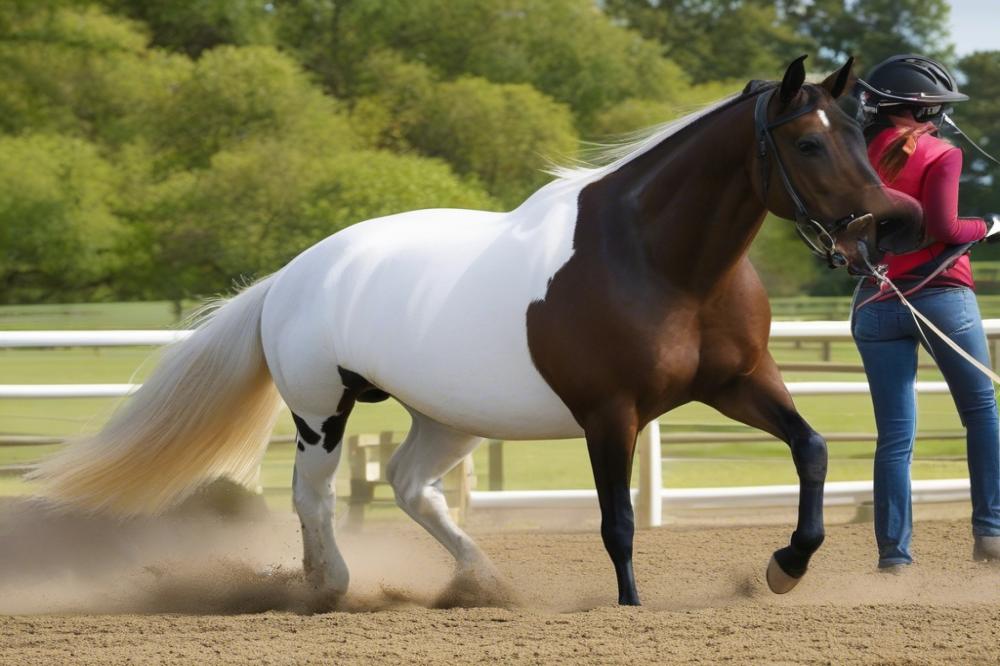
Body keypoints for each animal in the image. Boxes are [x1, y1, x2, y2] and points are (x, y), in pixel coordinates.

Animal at [31, 57, 920, 604]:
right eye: (807, 142)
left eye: (861, 135)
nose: (892, 222)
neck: (653, 257)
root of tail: (292, 275)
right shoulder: (612, 415)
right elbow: (618, 521)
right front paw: (631, 607)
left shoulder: (738, 385)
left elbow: (812, 450)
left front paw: (785, 567)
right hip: (321, 410)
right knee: (314, 495)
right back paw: (329, 586)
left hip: (448, 417)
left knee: (409, 487)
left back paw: (481, 581)